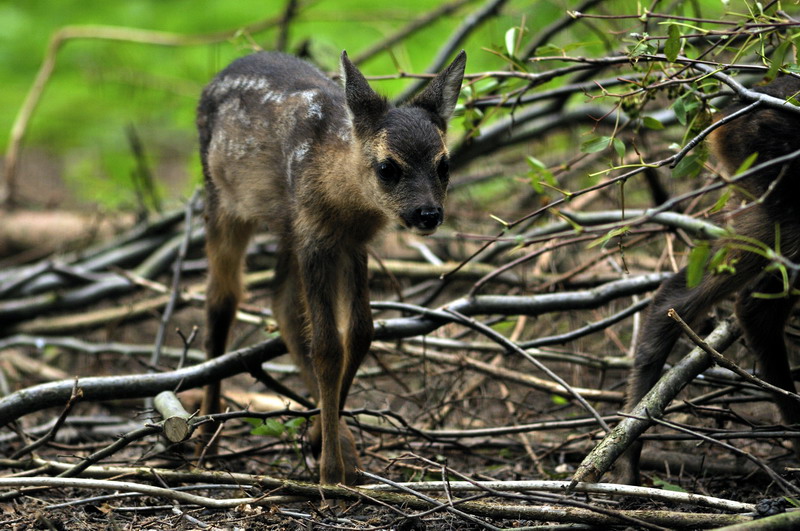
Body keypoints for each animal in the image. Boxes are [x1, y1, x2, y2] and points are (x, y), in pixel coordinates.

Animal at [196, 50, 466, 485]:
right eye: (387, 167)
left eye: (444, 164)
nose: (428, 214)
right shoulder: (315, 237)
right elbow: (327, 347)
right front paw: (330, 473)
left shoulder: (351, 244)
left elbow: (359, 335)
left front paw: (328, 446)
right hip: (221, 200)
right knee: (222, 300)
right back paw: (205, 442)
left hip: (288, 229)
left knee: (282, 303)